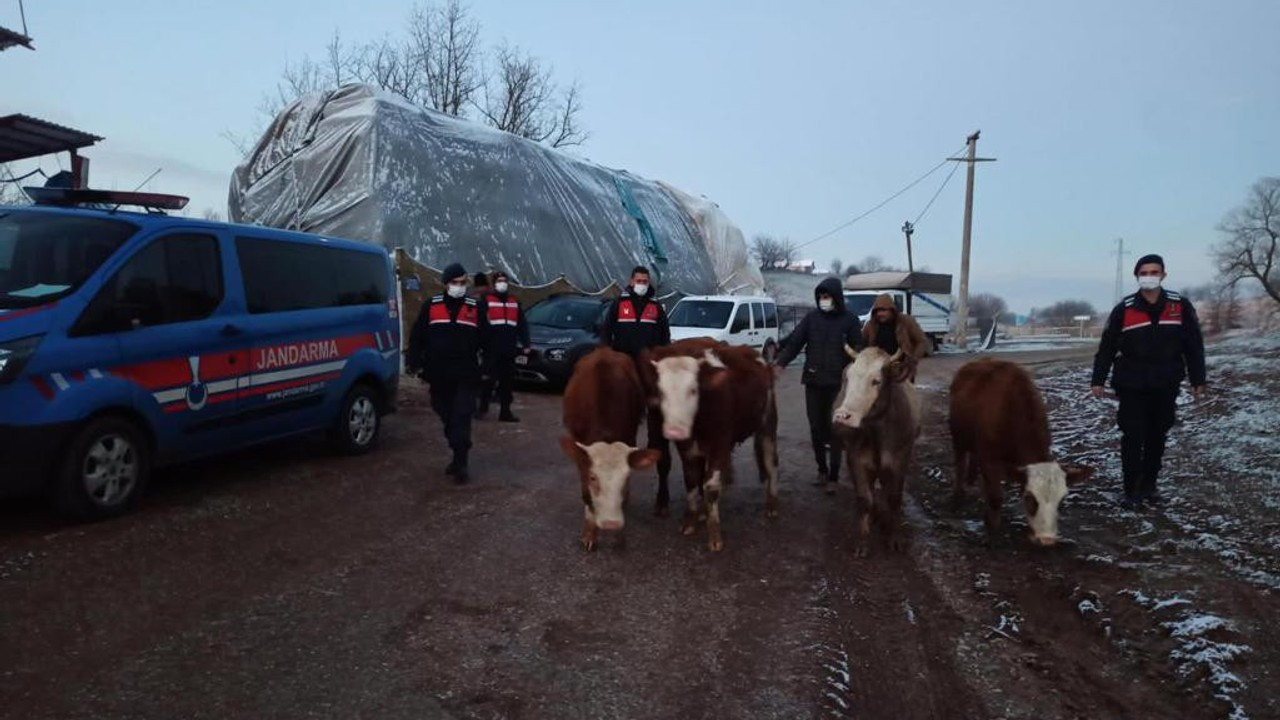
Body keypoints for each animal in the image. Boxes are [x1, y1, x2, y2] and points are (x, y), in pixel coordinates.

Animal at [560, 345, 660, 545]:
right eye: (593, 478)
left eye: (626, 477)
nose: (611, 524)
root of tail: (604, 349)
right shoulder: (581, 453)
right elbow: (586, 494)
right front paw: (590, 531)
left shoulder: (629, 434)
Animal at [640, 338, 778, 550]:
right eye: (661, 392)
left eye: (693, 390)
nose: (674, 431)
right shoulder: (687, 449)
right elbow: (691, 481)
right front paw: (690, 520)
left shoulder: (719, 444)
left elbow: (710, 486)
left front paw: (714, 534)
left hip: (767, 425)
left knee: (771, 462)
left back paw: (771, 504)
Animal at [829, 345, 921, 550]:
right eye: (848, 378)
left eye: (876, 381)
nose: (842, 415)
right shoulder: (856, 460)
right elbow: (865, 499)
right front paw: (862, 540)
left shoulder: (899, 461)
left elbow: (894, 498)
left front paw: (894, 537)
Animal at [952, 356, 1090, 545]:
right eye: (1030, 498)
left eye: (1061, 500)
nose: (1047, 539)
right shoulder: (989, 459)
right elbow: (996, 497)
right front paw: (991, 526)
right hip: (958, 436)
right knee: (960, 462)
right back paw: (960, 492)